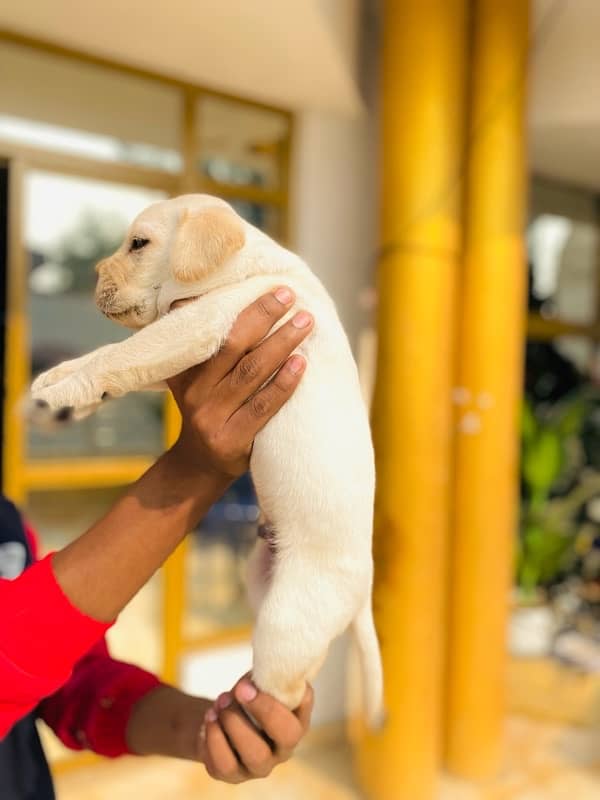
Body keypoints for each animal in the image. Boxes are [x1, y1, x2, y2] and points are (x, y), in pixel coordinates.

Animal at [28, 194, 384, 724]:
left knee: (287, 692)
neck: (245, 269)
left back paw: (244, 714)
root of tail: (363, 592)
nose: (94, 274)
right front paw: (58, 381)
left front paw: (64, 390)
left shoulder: (196, 325)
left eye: (138, 244)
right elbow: (111, 354)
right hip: (260, 585)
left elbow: (123, 353)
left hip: (286, 623)